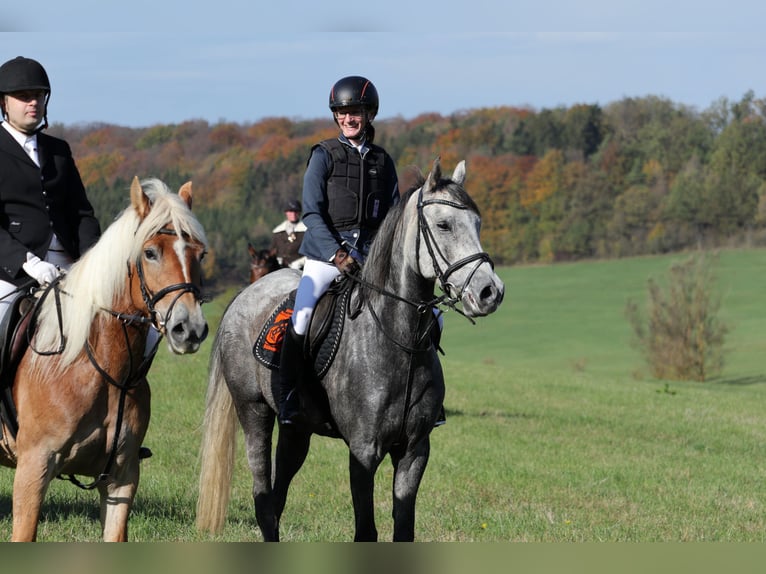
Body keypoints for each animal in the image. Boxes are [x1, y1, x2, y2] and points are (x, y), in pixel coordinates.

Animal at [198, 159, 508, 544]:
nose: (490, 292)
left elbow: (403, 528)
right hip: (253, 411)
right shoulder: (363, 451)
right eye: (443, 225)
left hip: (297, 429)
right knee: (263, 494)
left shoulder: (415, 450)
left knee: (278, 491)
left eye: (478, 223)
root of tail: (245, 294)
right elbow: (366, 530)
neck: (397, 339)